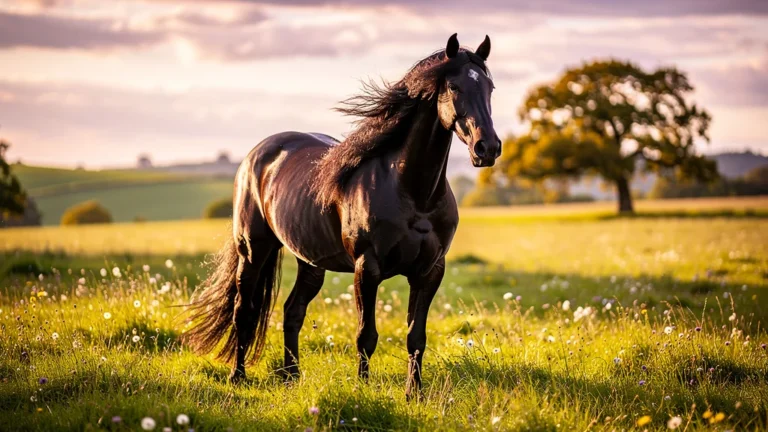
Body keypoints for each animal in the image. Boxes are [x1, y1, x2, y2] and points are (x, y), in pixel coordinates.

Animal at [185, 33, 500, 400]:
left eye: (490, 86)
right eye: (453, 86)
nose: (487, 148)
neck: (413, 193)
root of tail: (256, 155)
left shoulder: (429, 271)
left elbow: (415, 336)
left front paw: (414, 394)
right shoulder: (368, 268)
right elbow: (366, 335)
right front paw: (363, 389)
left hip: (310, 262)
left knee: (292, 312)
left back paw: (292, 377)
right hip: (253, 252)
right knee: (244, 313)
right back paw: (238, 376)